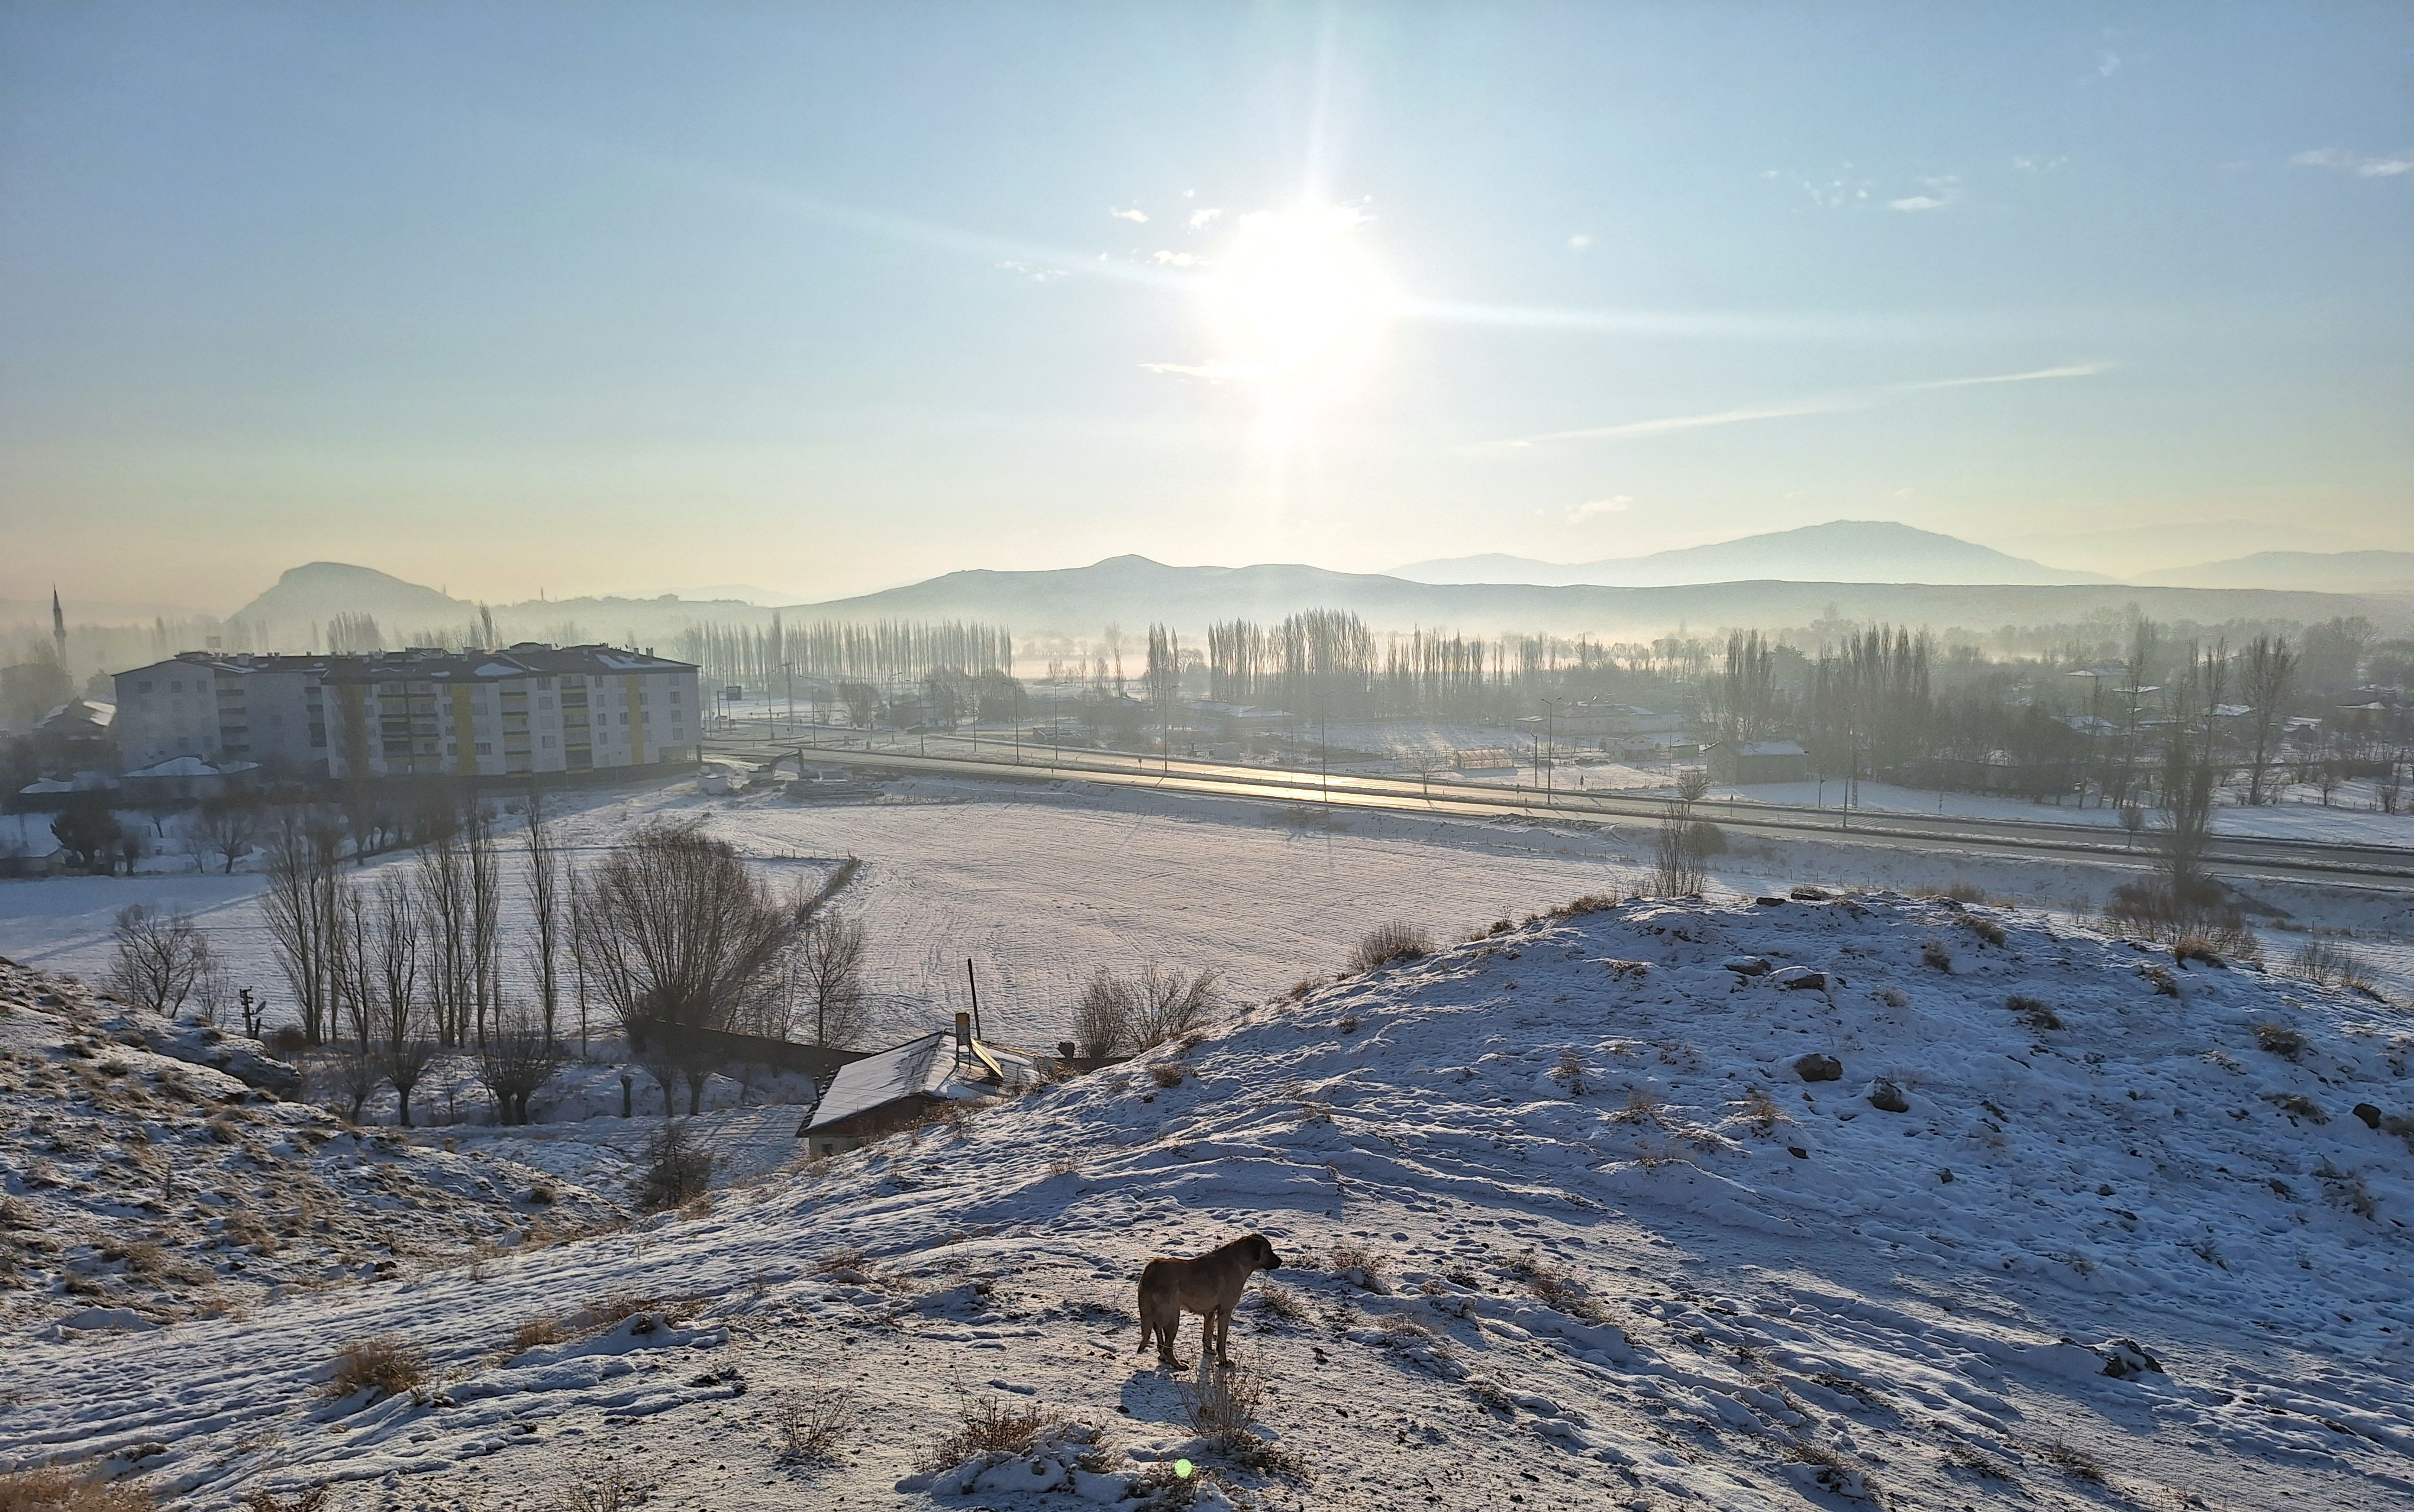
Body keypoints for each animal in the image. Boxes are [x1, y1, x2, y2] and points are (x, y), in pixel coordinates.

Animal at [1134, 1232, 1284, 1362]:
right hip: (1172, 1317)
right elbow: (1221, 1340)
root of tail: (1150, 1271)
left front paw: (1209, 1351)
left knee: (1160, 1342)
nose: (1281, 1262)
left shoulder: (1210, 1312)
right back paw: (1178, 1365)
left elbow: (1207, 1335)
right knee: (1167, 1348)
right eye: (1268, 1251)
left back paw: (1164, 1359)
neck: (1239, 1261)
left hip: (1160, 1316)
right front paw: (1224, 1361)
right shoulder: (1225, 1311)